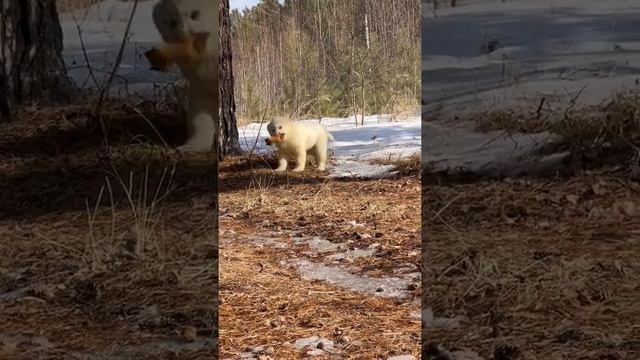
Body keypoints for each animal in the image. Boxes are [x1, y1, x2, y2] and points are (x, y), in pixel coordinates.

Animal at [152, 0, 218, 153]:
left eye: (195, 14)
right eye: (172, 22)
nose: (183, 34)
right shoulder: (200, 81)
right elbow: (200, 112)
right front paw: (191, 146)